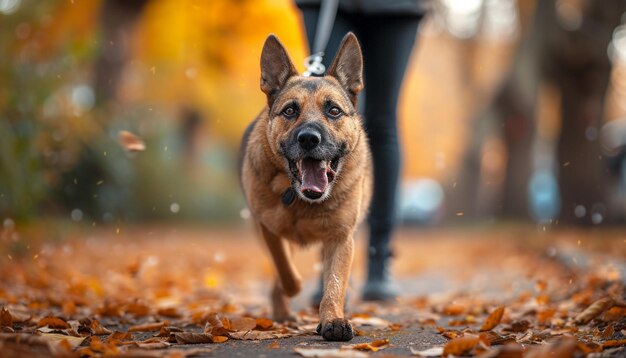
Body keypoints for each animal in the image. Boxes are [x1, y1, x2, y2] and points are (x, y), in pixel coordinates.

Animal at [238, 31, 366, 342]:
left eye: (333, 110)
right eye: (289, 110)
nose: (309, 138)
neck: (302, 200)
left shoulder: (341, 238)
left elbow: (334, 283)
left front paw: (333, 319)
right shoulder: (269, 229)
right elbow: (284, 268)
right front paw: (291, 288)